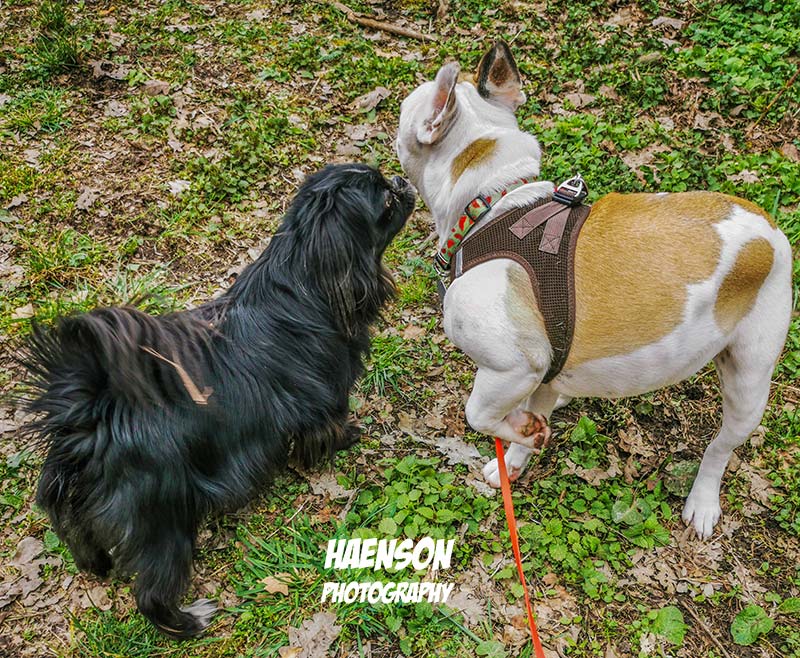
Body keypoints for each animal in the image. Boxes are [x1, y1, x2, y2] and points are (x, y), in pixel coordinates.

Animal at [20, 164, 415, 638]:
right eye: (385, 200)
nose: (402, 183)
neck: (304, 281)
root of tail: (94, 417)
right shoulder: (328, 398)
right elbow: (329, 428)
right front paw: (347, 437)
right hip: (163, 522)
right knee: (151, 594)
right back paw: (190, 622)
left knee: (82, 542)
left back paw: (98, 566)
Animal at [396, 40, 793, 540]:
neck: (491, 204)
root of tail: (770, 229)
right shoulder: (542, 372)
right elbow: (532, 414)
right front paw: (520, 453)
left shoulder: (513, 366)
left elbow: (478, 413)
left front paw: (521, 430)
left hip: (749, 382)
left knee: (721, 447)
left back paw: (703, 501)